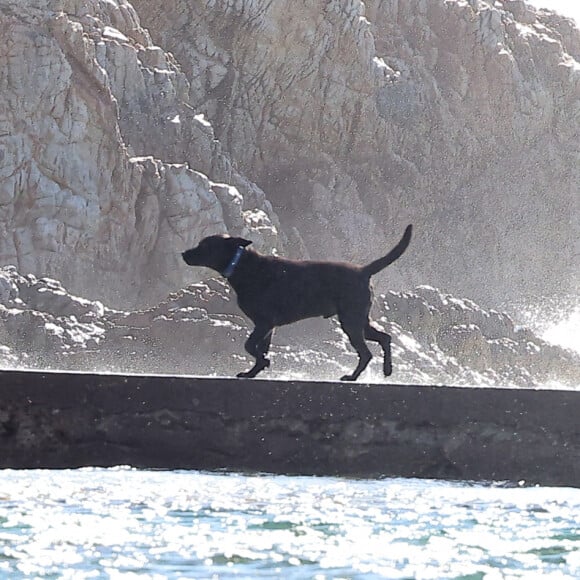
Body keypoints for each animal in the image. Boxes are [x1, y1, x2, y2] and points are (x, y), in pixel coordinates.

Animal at [182, 225, 412, 380]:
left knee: (366, 353)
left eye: (204, 246)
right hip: (359, 321)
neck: (243, 266)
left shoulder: (264, 323)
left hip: (351, 322)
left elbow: (249, 345)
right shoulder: (268, 327)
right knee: (385, 338)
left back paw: (352, 377)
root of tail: (363, 270)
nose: (184, 253)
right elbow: (260, 349)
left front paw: (262, 362)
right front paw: (253, 371)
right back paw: (387, 369)